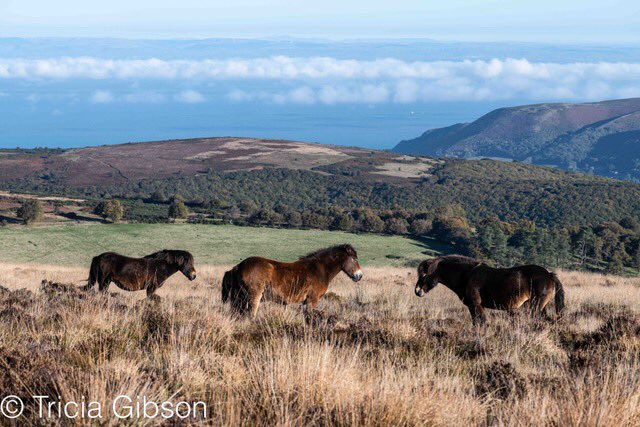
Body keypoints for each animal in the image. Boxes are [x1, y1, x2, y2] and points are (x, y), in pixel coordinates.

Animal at [222, 244, 363, 317]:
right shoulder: (312, 301)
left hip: (239, 299)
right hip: (253, 297)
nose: (359, 275)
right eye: (354, 259)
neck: (320, 269)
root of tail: (237, 267)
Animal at [414, 255, 565, 325]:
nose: (417, 291)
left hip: (536, 307)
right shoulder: (471, 307)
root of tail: (549, 274)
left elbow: (482, 323)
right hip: (541, 307)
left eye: (425, 274)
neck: (467, 275)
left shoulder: (477, 305)